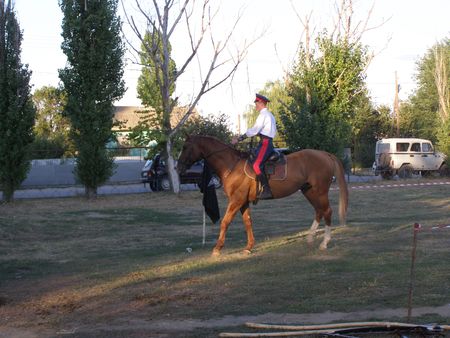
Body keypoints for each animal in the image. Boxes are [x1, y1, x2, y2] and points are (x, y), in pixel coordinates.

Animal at [176, 134, 348, 254]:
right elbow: (248, 222)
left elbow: (225, 221)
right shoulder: (243, 202)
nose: (178, 168)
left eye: (185, 147)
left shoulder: (236, 200)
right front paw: (249, 247)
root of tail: (325, 154)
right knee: (319, 211)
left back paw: (324, 243)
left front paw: (217, 248)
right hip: (309, 191)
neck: (232, 164)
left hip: (320, 192)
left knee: (327, 211)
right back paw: (311, 238)